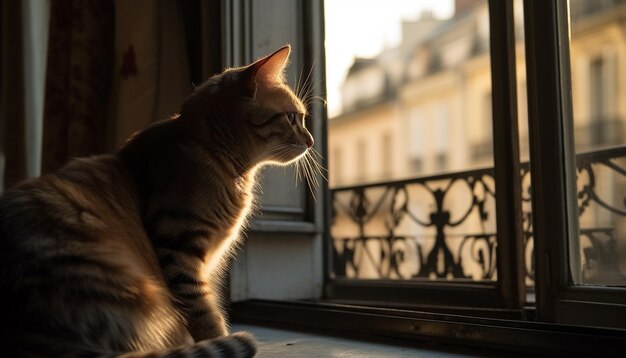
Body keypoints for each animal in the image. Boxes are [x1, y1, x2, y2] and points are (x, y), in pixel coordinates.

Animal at [0, 45, 312, 358]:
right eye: (292, 117)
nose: (311, 141)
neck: (212, 153)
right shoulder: (179, 249)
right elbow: (203, 311)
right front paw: (215, 335)